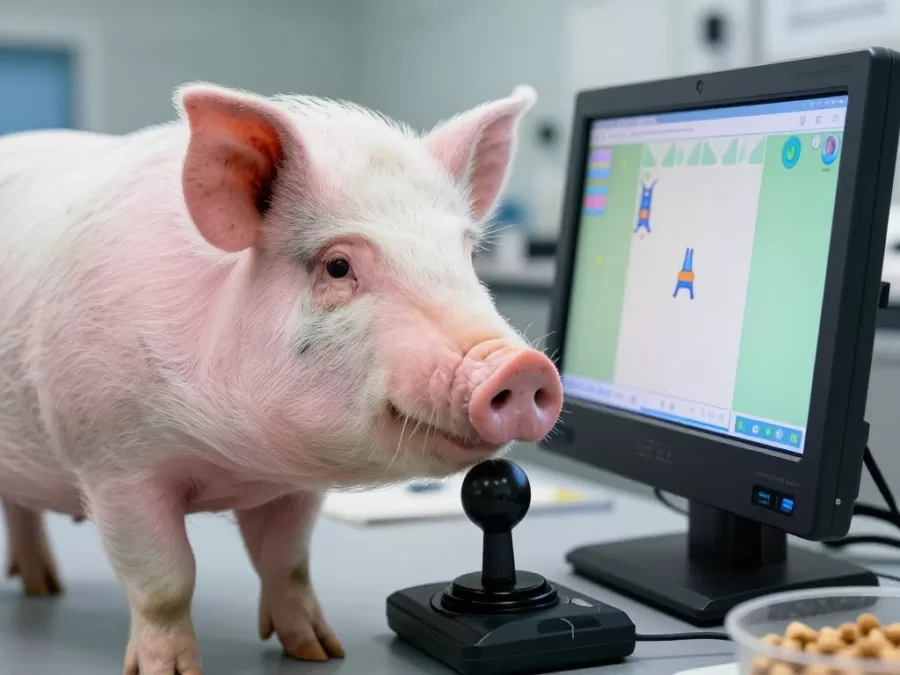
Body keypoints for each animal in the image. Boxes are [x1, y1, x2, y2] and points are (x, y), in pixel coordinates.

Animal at [0, 81, 563, 674]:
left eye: (469, 256)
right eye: (338, 266)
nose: (521, 366)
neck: (233, 465)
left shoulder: (295, 487)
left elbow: (287, 562)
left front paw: (320, 651)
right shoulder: (113, 462)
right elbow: (165, 581)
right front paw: (173, 672)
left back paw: (44, 587)